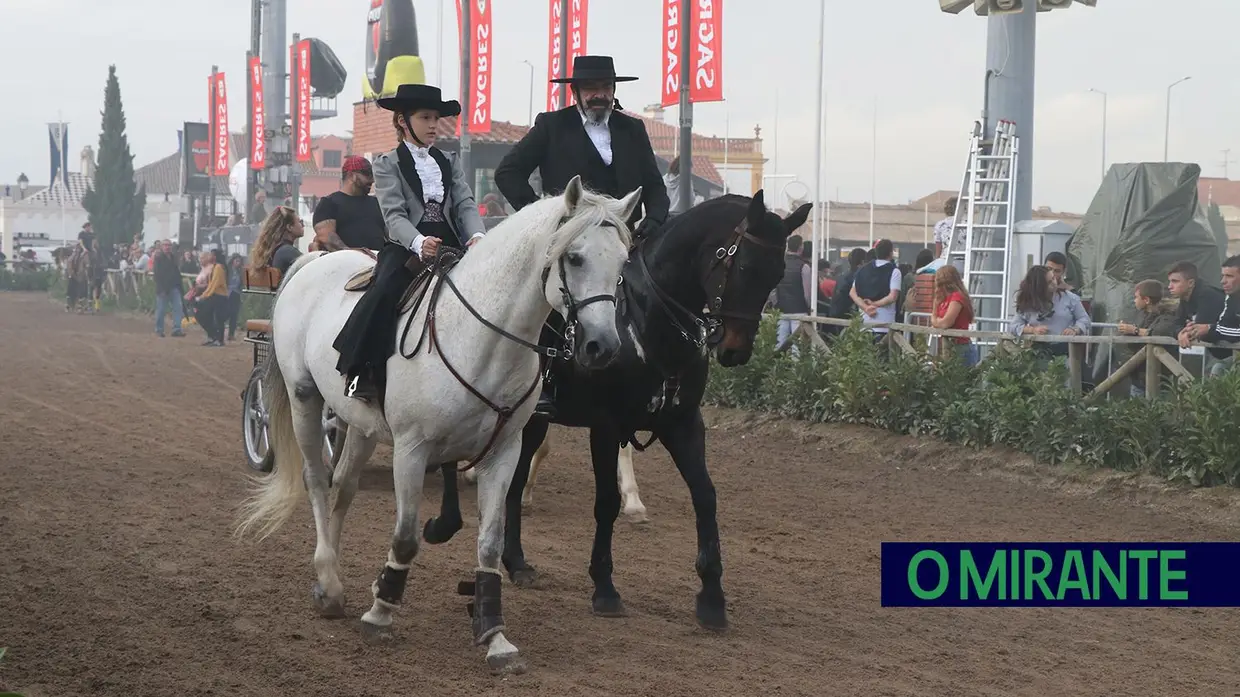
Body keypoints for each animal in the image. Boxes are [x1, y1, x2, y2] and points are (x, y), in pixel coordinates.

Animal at [234, 177, 639, 674]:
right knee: (316, 481)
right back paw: (328, 584)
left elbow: (489, 544)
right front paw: (380, 614)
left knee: (344, 488)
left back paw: (337, 579)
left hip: (361, 426)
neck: (483, 338)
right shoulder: (412, 450)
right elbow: (406, 538)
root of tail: (318, 261)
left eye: (622, 262)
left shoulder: (503, 454)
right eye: (575, 257)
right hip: (304, 400)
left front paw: (495, 636)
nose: (604, 347)